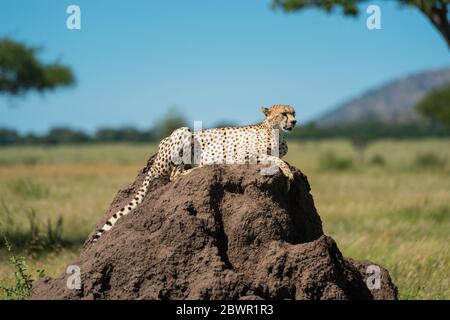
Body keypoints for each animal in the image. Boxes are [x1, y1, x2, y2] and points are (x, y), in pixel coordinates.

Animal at [92, 105, 298, 242]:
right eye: (283, 113)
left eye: (293, 112)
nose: (295, 121)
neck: (276, 132)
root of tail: (158, 149)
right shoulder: (243, 155)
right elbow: (274, 159)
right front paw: (287, 173)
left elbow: (279, 158)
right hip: (184, 132)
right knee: (174, 175)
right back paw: (199, 168)